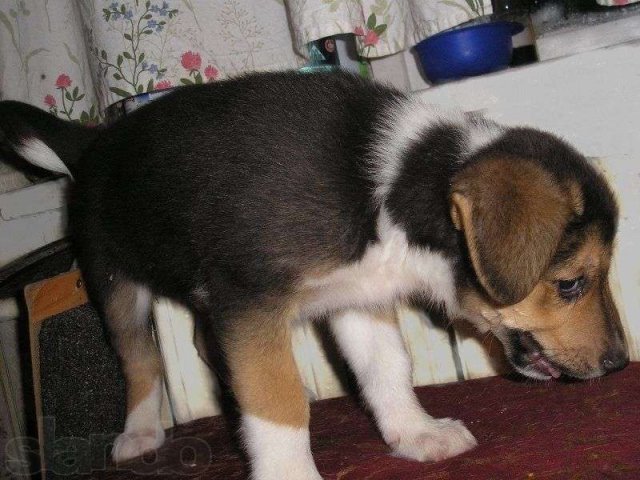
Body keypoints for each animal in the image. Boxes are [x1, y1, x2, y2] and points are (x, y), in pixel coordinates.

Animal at [0, 71, 628, 480]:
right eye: (570, 284)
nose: (620, 364)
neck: (393, 188)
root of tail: (93, 144)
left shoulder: (357, 297)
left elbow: (387, 370)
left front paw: (417, 434)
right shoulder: (248, 298)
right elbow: (276, 402)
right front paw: (289, 471)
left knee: (205, 342)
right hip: (114, 277)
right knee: (139, 357)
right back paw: (139, 433)